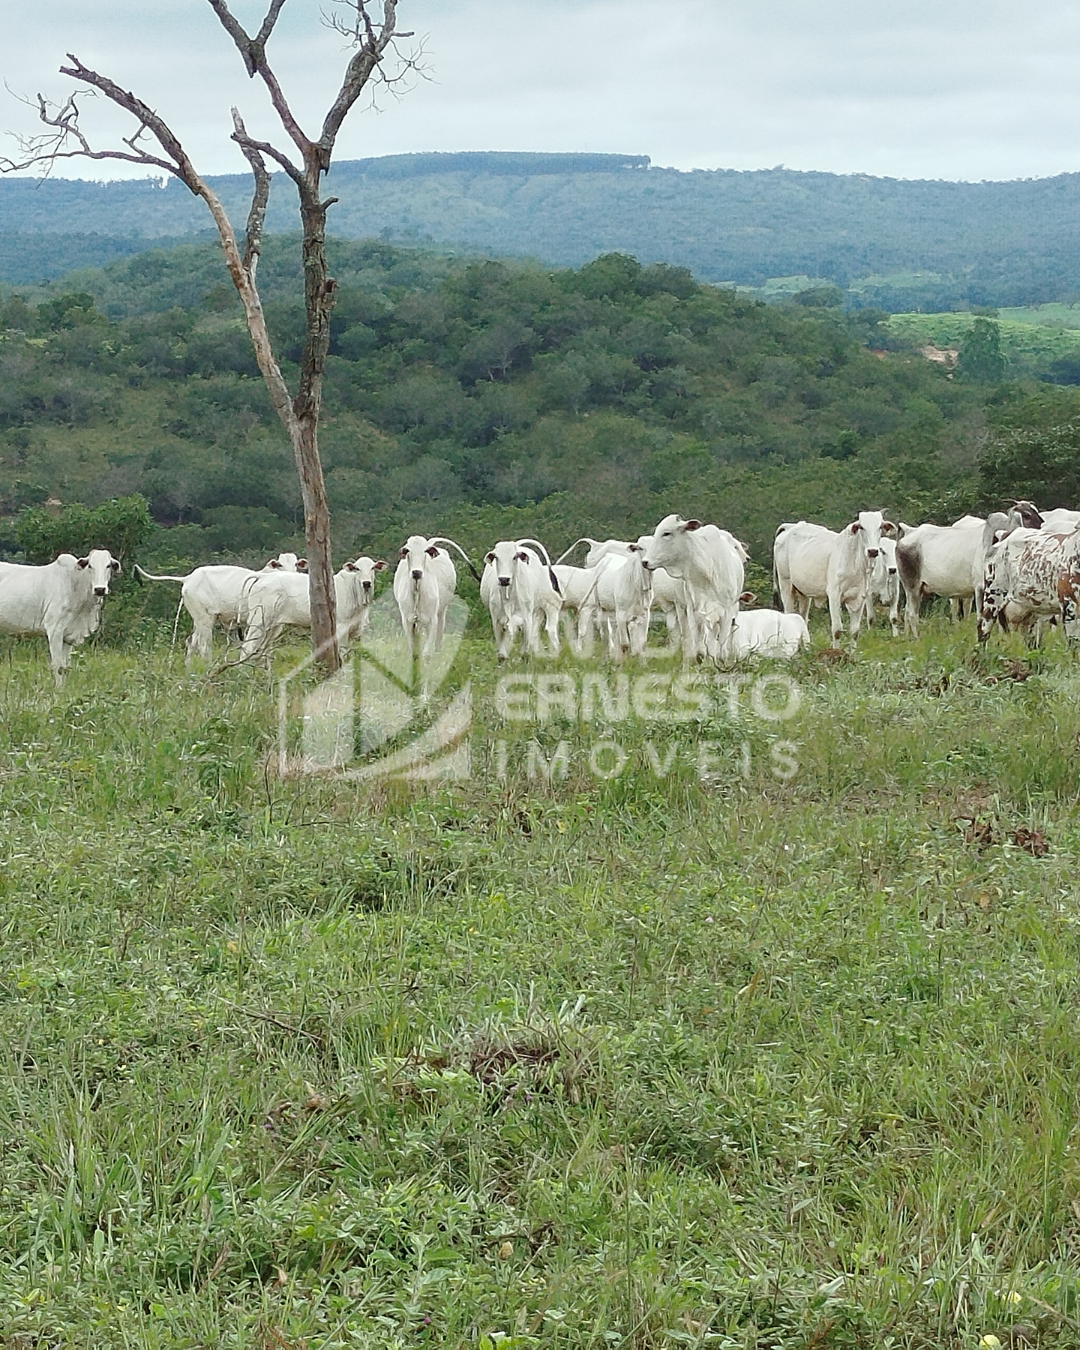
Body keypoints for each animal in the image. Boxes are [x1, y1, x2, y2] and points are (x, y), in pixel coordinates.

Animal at [0, 549, 120, 685]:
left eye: (108, 565)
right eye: (90, 566)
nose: (100, 589)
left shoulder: (68, 637)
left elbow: (65, 667)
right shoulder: (55, 630)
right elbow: (57, 666)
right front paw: (57, 689)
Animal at [135, 552, 307, 664]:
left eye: (296, 564)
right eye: (280, 564)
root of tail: (189, 578)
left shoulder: (275, 625)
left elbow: (266, 651)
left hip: (199, 619)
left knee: (191, 643)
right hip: (205, 619)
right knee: (203, 647)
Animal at [237, 559, 380, 661]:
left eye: (372, 567)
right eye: (357, 568)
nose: (366, 583)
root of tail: (262, 577)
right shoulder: (341, 627)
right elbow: (343, 653)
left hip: (272, 627)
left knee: (261, 650)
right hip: (259, 621)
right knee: (247, 647)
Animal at [641, 515, 746, 661]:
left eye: (666, 533)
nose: (645, 562)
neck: (707, 569)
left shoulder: (727, 612)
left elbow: (721, 649)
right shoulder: (693, 611)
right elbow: (697, 650)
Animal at [773, 511, 895, 642]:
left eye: (880, 527)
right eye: (861, 527)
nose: (872, 551)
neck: (856, 563)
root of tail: (790, 526)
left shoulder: (860, 597)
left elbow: (854, 632)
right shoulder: (834, 595)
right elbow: (837, 631)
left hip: (804, 592)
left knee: (803, 618)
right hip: (785, 584)